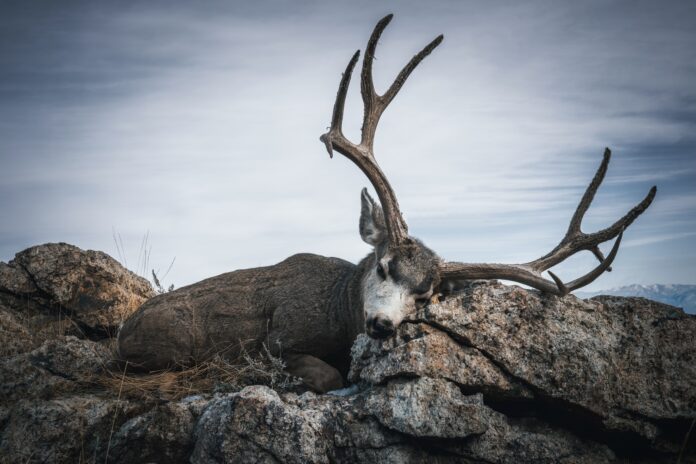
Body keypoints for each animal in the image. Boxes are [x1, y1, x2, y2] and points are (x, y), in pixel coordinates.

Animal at [117, 14, 656, 392]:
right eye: (384, 266)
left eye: (427, 296)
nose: (380, 325)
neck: (340, 310)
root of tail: (124, 330)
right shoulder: (278, 338)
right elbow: (329, 374)